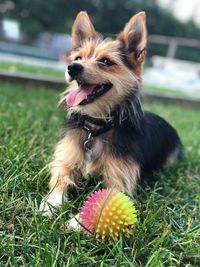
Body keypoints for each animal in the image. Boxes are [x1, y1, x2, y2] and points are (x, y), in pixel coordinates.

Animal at [39, 11, 184, 219]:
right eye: (78, 58)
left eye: (106, 61)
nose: (72, 67)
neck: (97, 127)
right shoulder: (65, 160)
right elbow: (60, 180)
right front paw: (51, 203)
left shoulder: (120, 180)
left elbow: (105, 200)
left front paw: (78, 221)